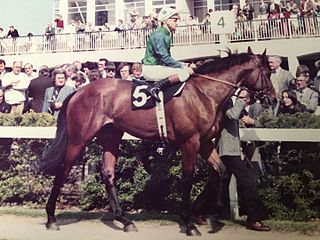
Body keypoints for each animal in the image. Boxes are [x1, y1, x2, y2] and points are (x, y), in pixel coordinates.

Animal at [39, 47, 276, 235]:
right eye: (267, 72)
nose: (273, 98)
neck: (203, 93)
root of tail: (78, 92)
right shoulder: (190, 142)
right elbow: (187, 178)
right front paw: (189, 222)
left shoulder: (205, 143)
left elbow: (222, 171)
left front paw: (214, 211)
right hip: (79, 139)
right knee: (63, 169)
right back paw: (51, 218)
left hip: (111, 135)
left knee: (107, 173)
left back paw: (125, 220)